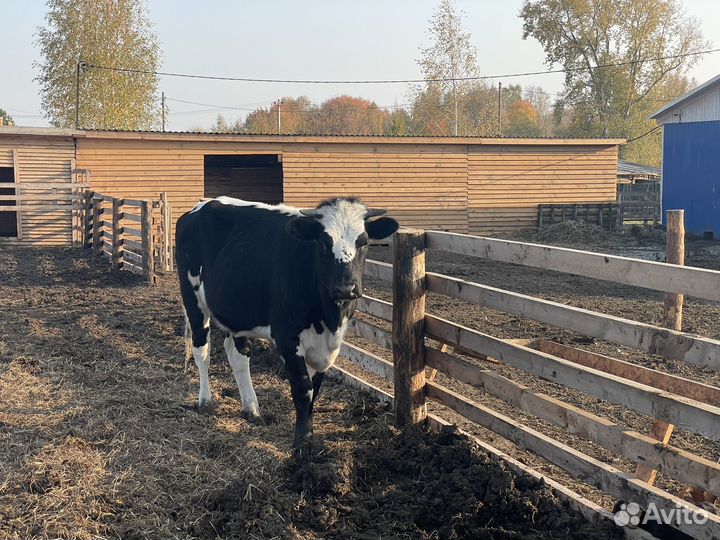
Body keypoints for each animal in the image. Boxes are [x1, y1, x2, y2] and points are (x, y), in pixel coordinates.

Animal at [175, 196, 399, 446]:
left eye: (364, 243)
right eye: (323, 243)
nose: (346, 288)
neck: (330, 320)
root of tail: (203, 205)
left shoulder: (326, 347)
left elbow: (315, 390)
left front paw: (309, 435)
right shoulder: (287, 339)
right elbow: (303, 389)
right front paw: (301, 443)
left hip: (237, 310)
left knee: (237, 355)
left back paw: (251, 409)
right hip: (193, 300)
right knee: (201, 350)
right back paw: (205, 400)